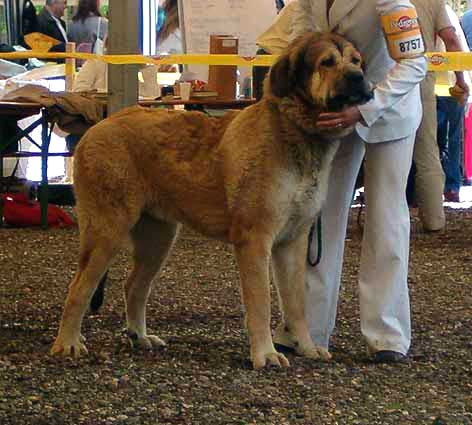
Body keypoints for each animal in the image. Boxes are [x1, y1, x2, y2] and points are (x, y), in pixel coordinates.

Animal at [50, 32, 372, 368]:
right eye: (327, 63)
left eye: (356, 61)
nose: (359, 78)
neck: (295, 133)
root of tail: (96, 128)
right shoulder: (255, 239)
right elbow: (261, 302)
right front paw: (265, 353)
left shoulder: (292, 242)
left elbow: (296, 304)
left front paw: (307, 347)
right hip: (107, 232)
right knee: (78, 288)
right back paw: (68, 343)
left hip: (159, 238)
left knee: (134, 286)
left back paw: (140, 337)